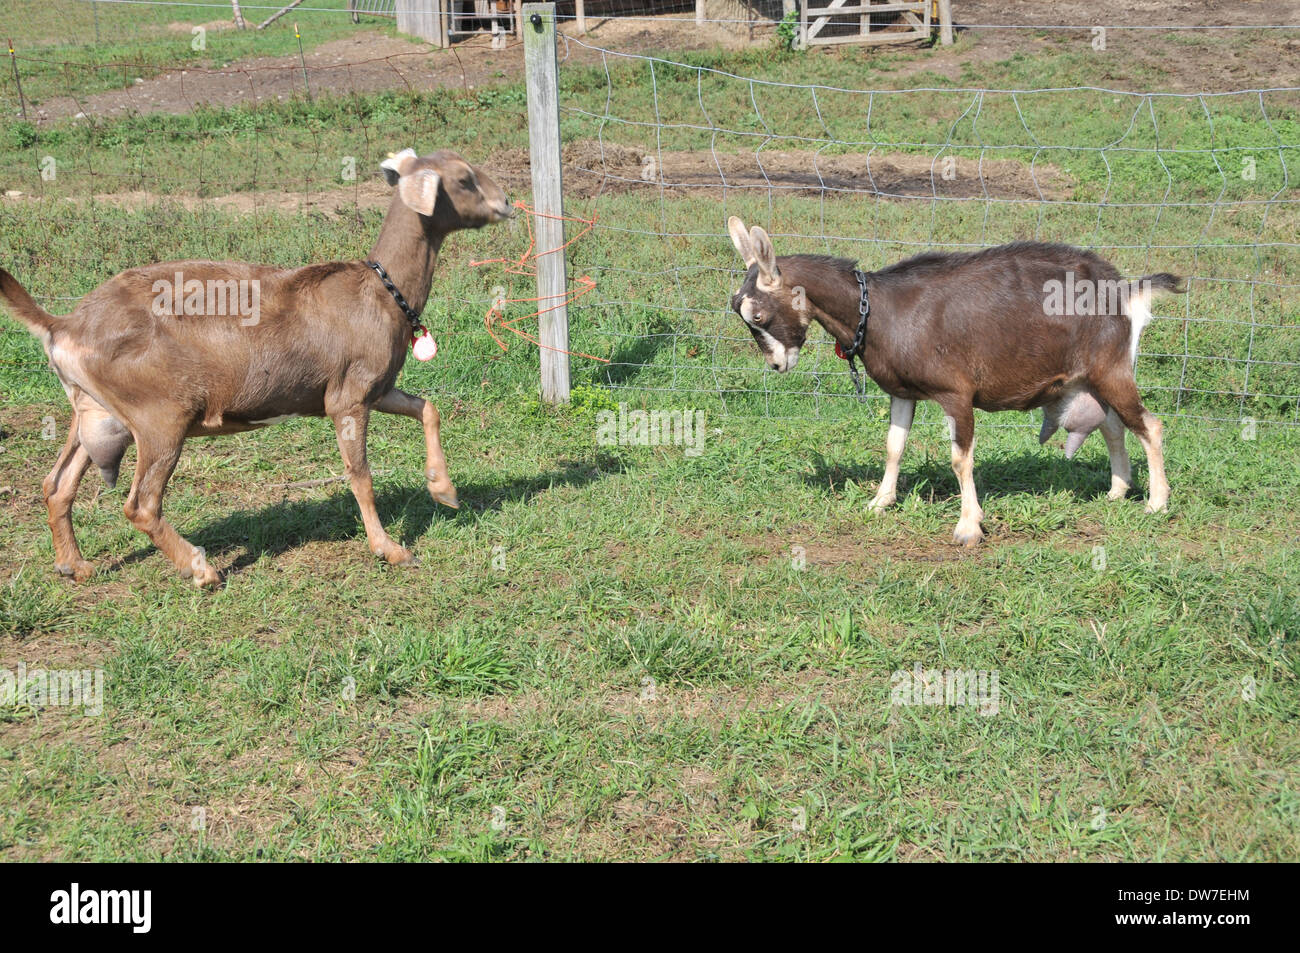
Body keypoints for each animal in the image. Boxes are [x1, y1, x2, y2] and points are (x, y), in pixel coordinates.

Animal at [0, 148, 512, 587]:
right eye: (463, 179)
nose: (506, 203)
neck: (382, 292)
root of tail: (63, 324)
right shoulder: (347, 397)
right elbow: (360, 475)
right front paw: (391, 550)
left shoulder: (377, 386)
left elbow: (428, 408)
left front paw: (444, 491)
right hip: (157, 415)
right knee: (141, 504)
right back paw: (201, 570)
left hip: (95, 411)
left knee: (56, 484)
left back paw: (75, 565)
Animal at [725, 217, 1184, 545]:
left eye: (759, 315)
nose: (778, 365)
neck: (879, 312)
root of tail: (1125, 289)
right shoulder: (902, 392)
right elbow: (893, 448)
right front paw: (880, 502)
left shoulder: (957, 394)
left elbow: (960, 459)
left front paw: (968, 526)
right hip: (1087, 379)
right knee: (1113, 426)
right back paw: (1118, 491)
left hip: (1111, 369)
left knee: (1150, 425)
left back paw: (1157, 502)